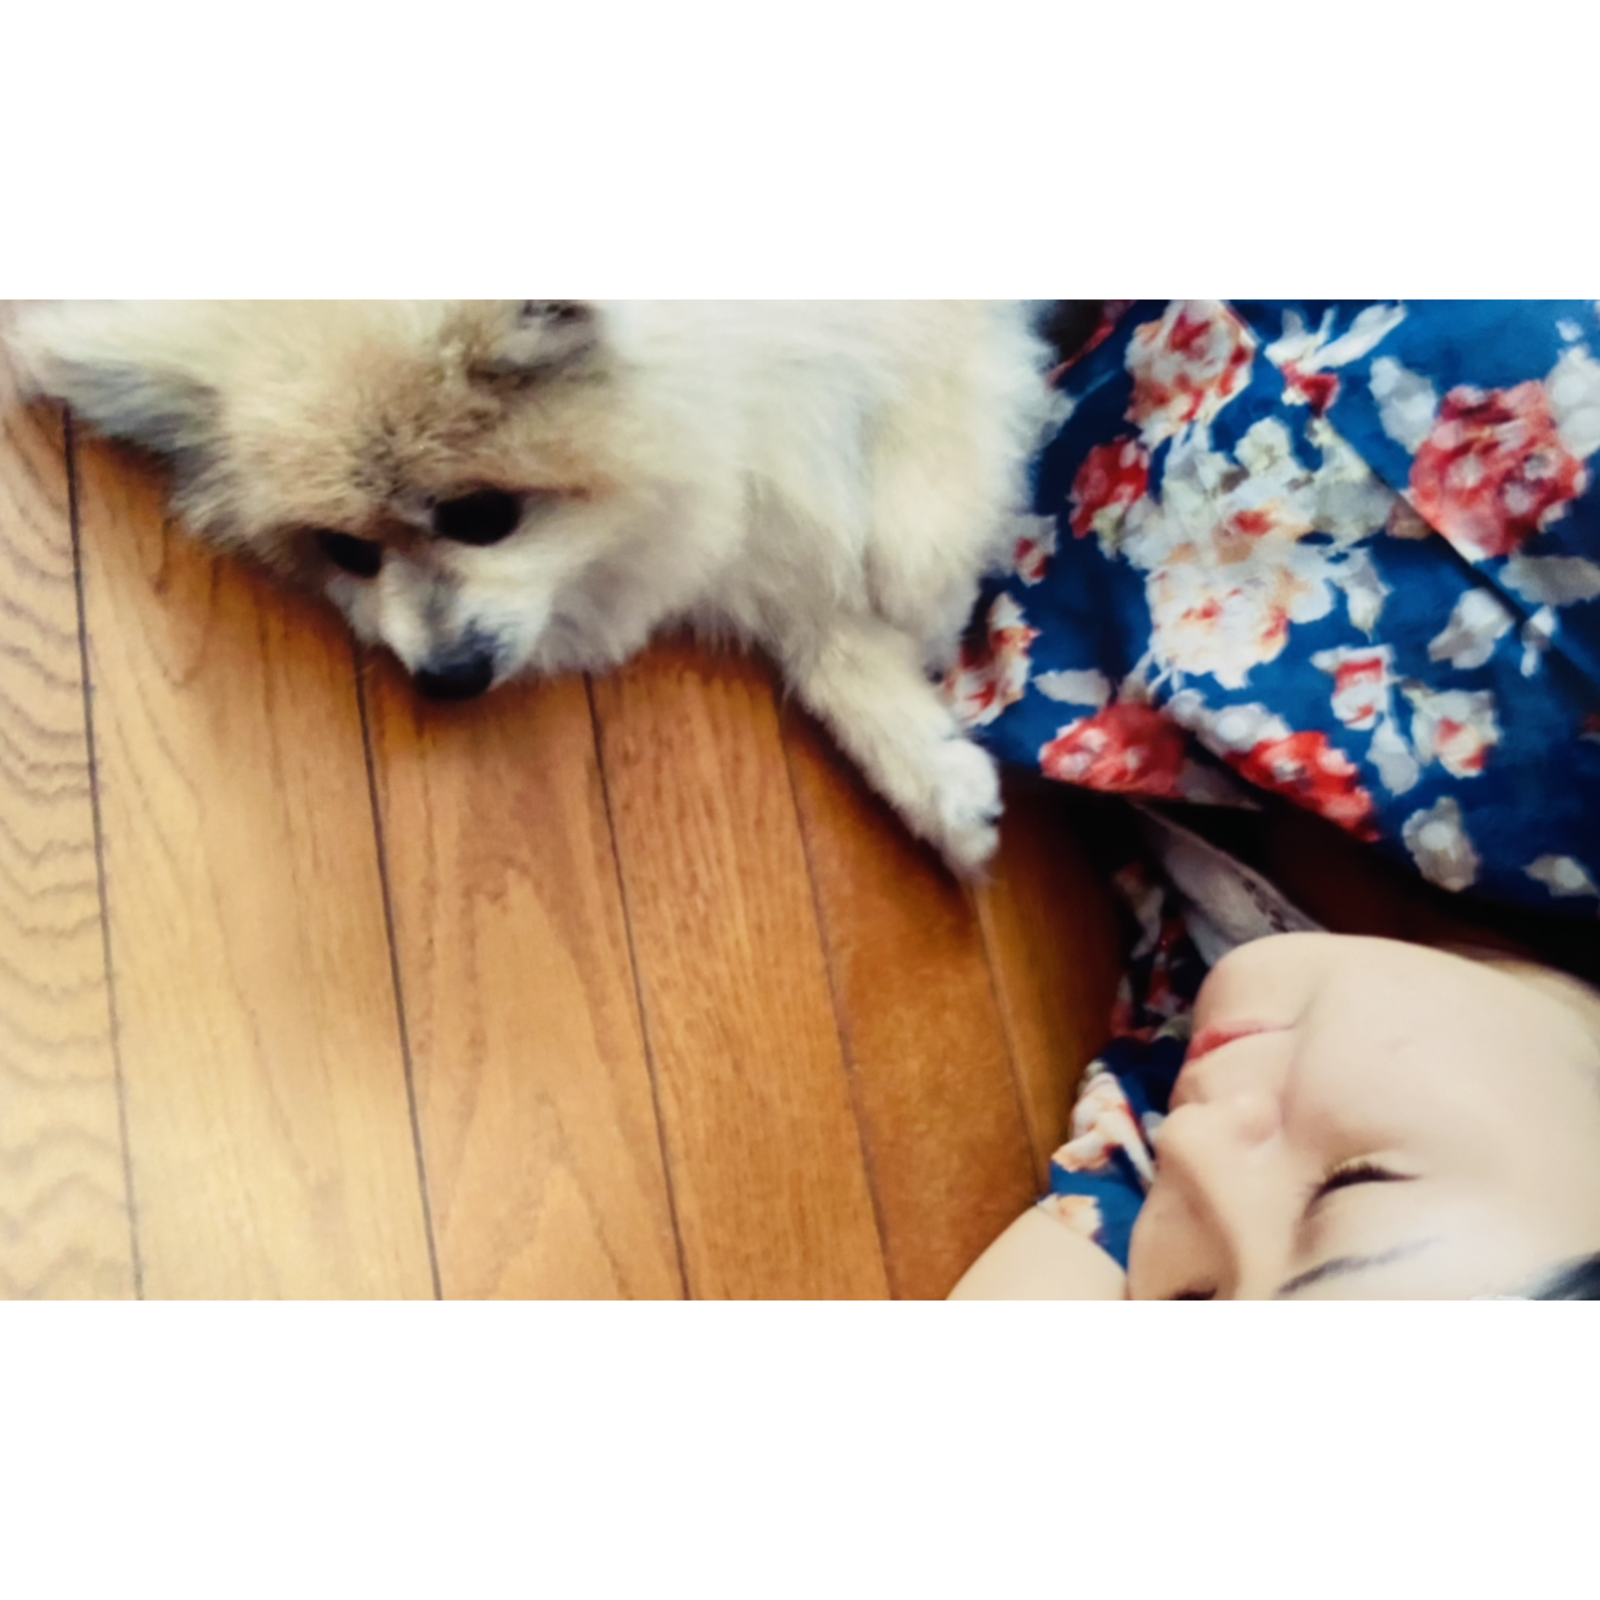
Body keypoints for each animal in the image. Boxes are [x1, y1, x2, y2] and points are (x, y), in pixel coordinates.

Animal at [8, 300, 1055, 873]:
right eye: (346, 554)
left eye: (481, 515)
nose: (445, 676)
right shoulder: (758, 498)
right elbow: (827, 639)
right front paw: (935, 778)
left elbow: (939, 416)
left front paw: (925, 580)